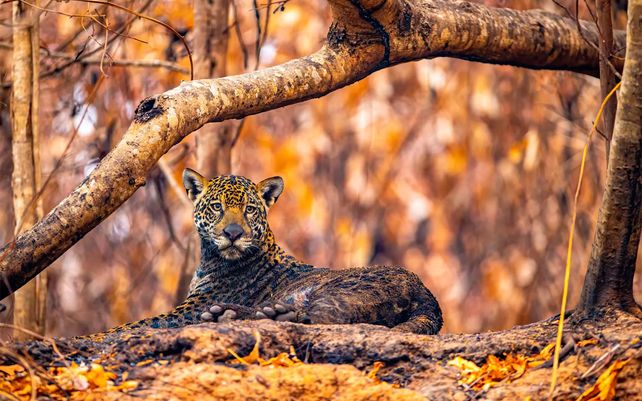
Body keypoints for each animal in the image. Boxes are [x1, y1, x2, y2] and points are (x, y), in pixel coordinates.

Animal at [109, 169, 443, 335]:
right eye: (217, 207)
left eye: (250, 209)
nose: (233, 234)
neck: (210, 259)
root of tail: (427, 293)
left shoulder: (188, 310)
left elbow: (134, 324)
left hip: (342, 289)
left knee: (325, 319)